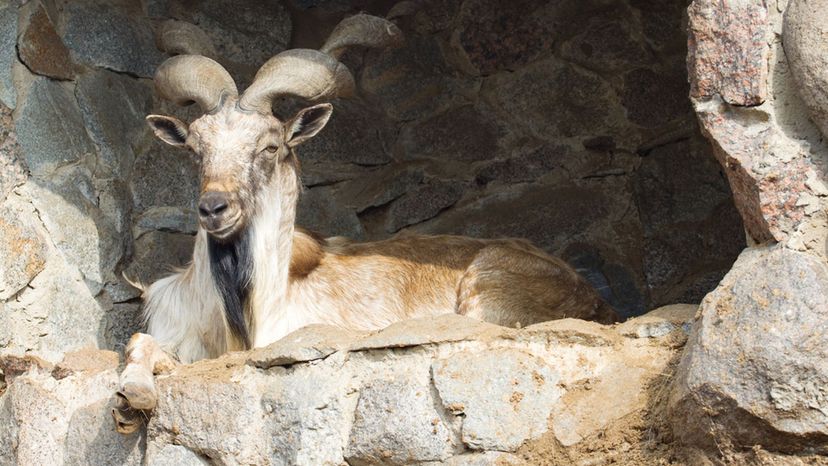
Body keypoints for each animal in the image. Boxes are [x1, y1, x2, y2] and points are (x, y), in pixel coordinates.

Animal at [115, 12, 616, 434]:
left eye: (271, 146)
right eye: (195, 149)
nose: (214, 208)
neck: (245, 312)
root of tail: (594, 299)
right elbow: (142, 342)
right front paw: (130, 398)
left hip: (486, 287)